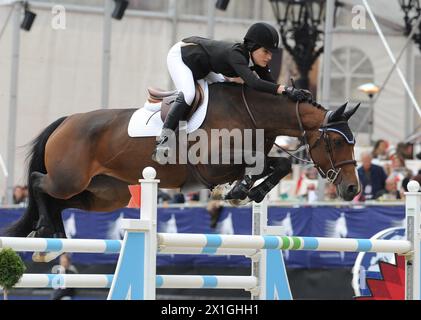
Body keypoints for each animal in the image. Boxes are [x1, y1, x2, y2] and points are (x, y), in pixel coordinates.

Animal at [1, 82, 360, 262]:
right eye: (334, 143)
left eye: (353, 143)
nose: (352, 190)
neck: (253, 112)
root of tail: (67, 121)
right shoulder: (213, 165)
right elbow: (266, 162)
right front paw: (243, 190)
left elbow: (276, 164)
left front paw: (248, 191)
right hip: (69, 179)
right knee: (39, 183)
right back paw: (45, 230)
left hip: (107, 193)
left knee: (59, 200)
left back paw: (53, 237)